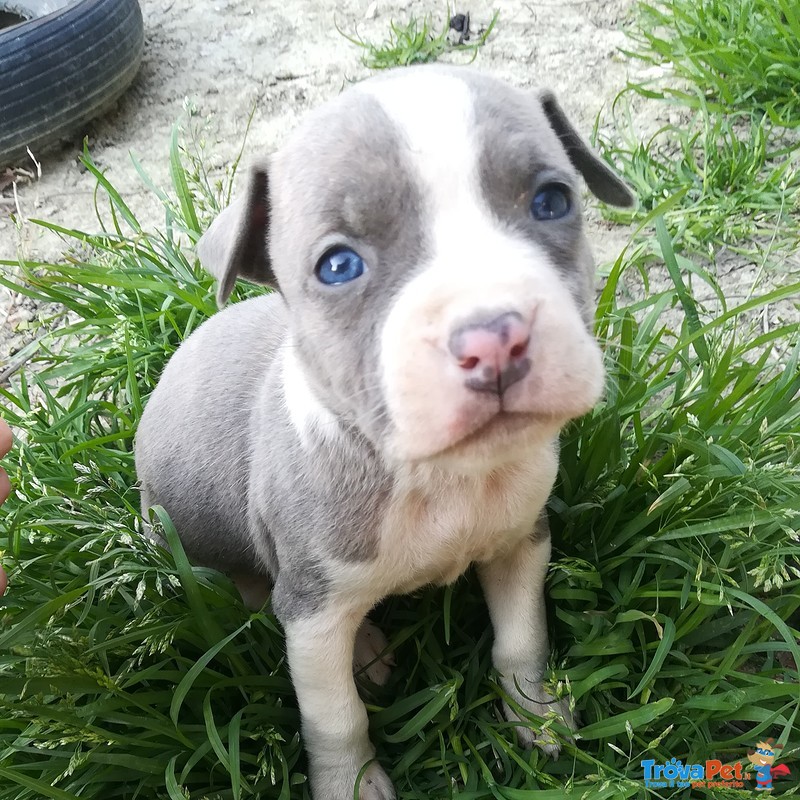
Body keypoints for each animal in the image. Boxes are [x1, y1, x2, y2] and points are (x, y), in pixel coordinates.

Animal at [134, 64, 636, 800]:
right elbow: (334, 714)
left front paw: (536, 715)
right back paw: (364, 649)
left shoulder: (522, 541)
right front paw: (350, 782)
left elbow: (521, 639)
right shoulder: (312, 614)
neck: (438, 475)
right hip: (189, 533)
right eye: (338, 266)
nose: (493, 339)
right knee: (249, 589)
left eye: (551, 201)